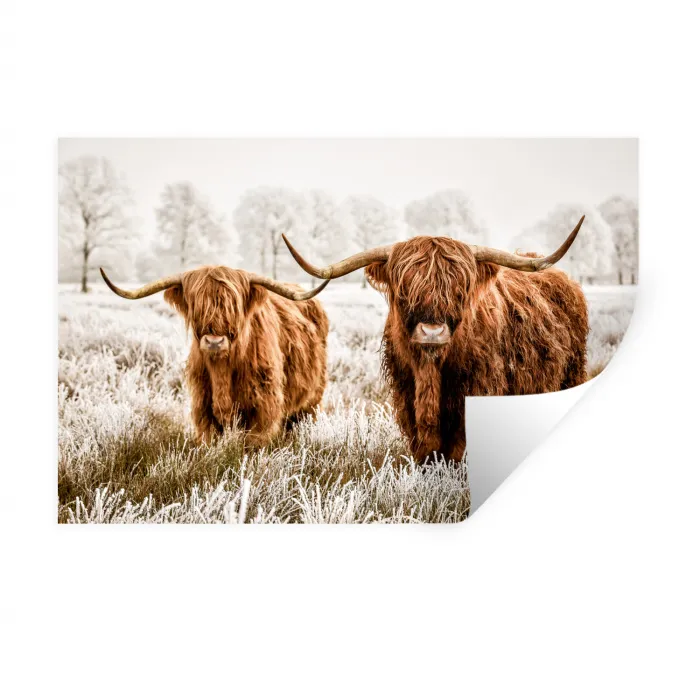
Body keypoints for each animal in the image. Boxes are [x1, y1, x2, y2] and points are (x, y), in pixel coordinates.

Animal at [100, 266, 330, 447]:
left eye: (233, 306)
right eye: (197, 306)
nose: (214, 342)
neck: (222, 371)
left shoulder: (264, 408)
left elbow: (254, 444)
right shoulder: (203, 408)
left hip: (312, 401)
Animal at [282, 217, 588, 463]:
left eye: (459, 290)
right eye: (404, 290)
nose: (431, 332)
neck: (430, 373)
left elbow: (458, 449)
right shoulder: (407, 397)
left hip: (571, 374)